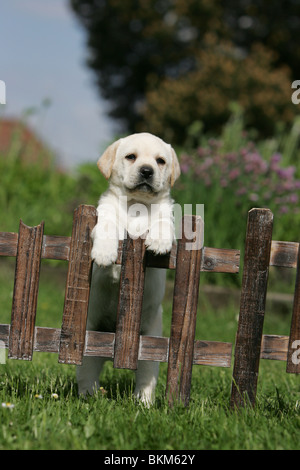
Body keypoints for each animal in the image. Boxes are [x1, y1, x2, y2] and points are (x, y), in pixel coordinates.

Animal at [77, 131, 180, 404]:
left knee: (145, 380)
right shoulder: (105, 213)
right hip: (89, 342)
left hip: (150, 347)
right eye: (131, 157)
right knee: (87, 376)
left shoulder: (165, 213)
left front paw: (159, 241)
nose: (146, 170)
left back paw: (143, 403)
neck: (137, 205)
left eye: (160, 161)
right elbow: (107, 226)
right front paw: (104, 253)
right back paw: (89, 397)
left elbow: (163, 221)